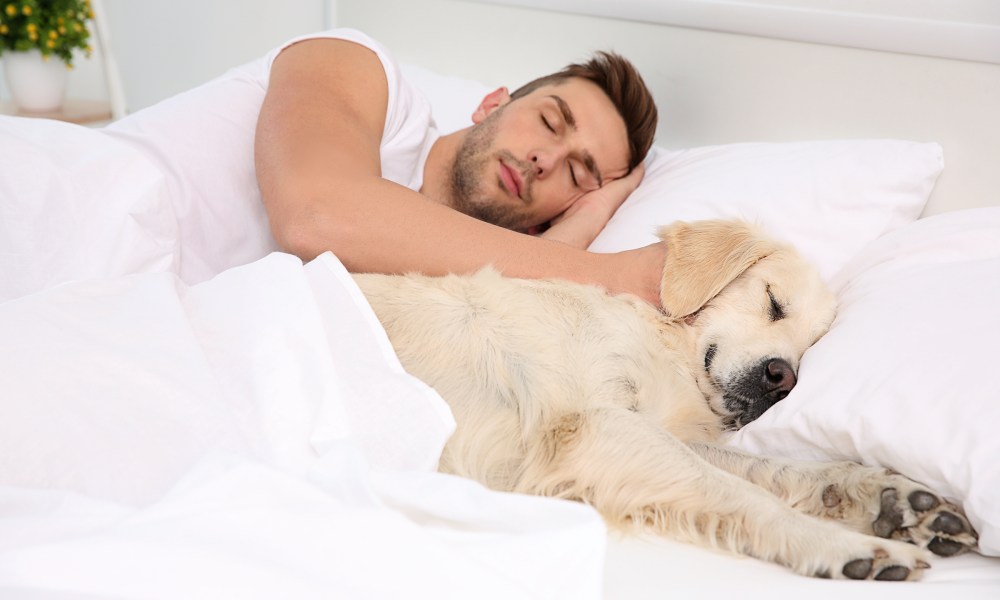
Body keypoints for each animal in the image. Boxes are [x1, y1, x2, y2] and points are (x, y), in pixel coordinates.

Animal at [354, 220, 976, 580]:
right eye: (774, 303)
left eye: (814, 346)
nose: (785, 379)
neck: (666, 344)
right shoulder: (595, 426)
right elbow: (740, 492)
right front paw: (840, 543)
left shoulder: (649, 428)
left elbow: (768, 469)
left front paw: (886, 496)